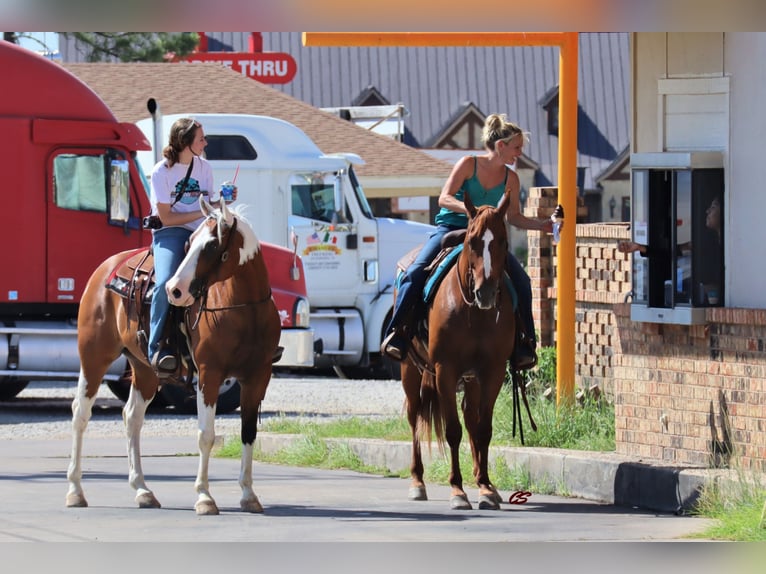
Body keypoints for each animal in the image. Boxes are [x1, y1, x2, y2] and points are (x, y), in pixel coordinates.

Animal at [66, 198, 282, 516]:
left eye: (211, 245)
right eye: (189, 244)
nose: (173, 290)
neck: (245, 310)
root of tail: (106, 268)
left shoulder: (258, 377)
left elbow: (248, 432)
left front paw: (248, 495)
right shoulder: (209, 374)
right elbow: (206, 435)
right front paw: (204, 497)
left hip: (145, 371)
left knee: (132, 418)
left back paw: (143, 490)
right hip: (94, 358)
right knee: (81, 414)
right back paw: (75, 491)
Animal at [402, 189, 516, 512]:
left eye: (503, 241)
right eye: (471, 241)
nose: (486, 292)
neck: (473, 313)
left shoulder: (492, 371)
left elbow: (483, 428)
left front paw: (485, 488)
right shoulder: (445, 370)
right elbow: (453, 430)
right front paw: (457, 490)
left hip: (471, 379)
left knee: (471, 417)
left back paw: (485, 482)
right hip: (410, 372)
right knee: (415, 418)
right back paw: (417, 482)